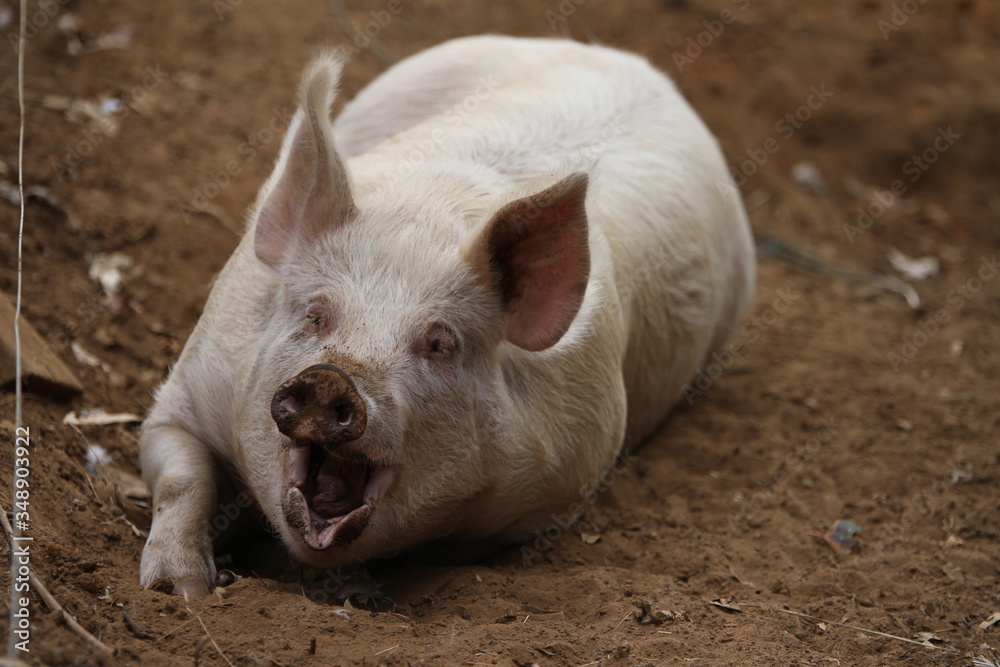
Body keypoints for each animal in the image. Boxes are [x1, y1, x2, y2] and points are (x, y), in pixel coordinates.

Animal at [138, 35, 755, 597]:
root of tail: (623, 58)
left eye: (439, 343)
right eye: (315, 314)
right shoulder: (190, 385)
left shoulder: (568, 478)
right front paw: (177, 590)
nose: (332, 378)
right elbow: (181, 478)